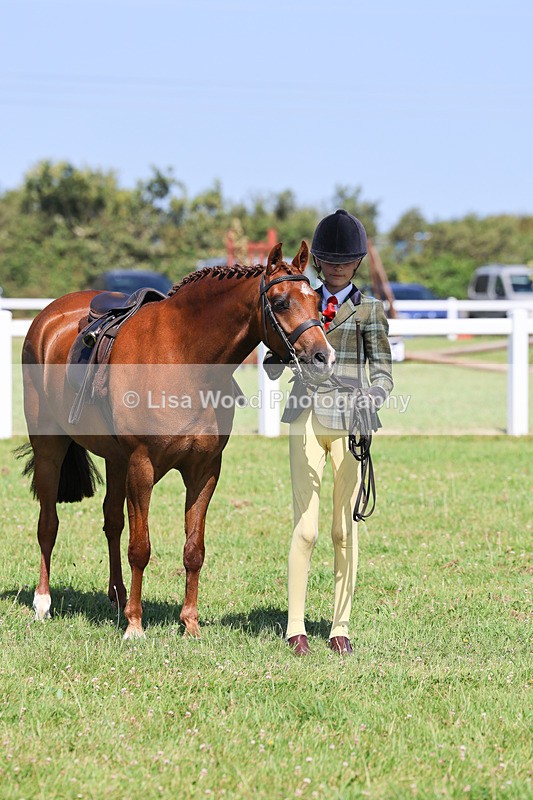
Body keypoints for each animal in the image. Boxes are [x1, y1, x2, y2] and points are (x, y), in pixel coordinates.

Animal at [19, 241, 335, 639]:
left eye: (317, 300)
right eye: (280, 302)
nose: (324, 357)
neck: (184, 357)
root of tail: (47, 317)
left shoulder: (204, 470)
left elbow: (193, 549)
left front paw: (190, 623)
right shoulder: (142, 466)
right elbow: (140, 547)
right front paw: (135, 626)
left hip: (115, 459)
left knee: (112, 522)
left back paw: (117, 596)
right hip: (50, 447)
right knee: (48, 524)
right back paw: (43, 602)